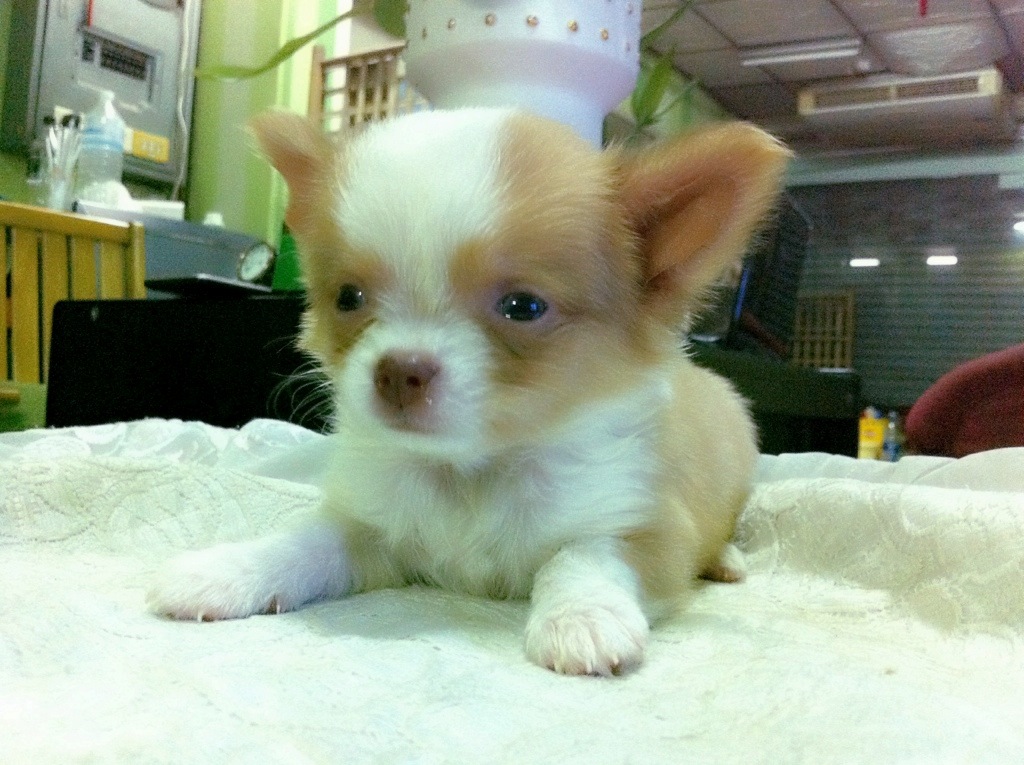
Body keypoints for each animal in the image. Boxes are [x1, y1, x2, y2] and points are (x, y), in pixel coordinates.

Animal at [148, 108, 789, 676]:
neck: (469, 474)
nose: (398, 369)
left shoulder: (649, 529)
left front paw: (581, 618)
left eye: (523, 307)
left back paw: (727, 560)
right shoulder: (368, 528)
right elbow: (304, 541)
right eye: (348, 298)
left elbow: (584, 553)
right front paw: (229, 568)